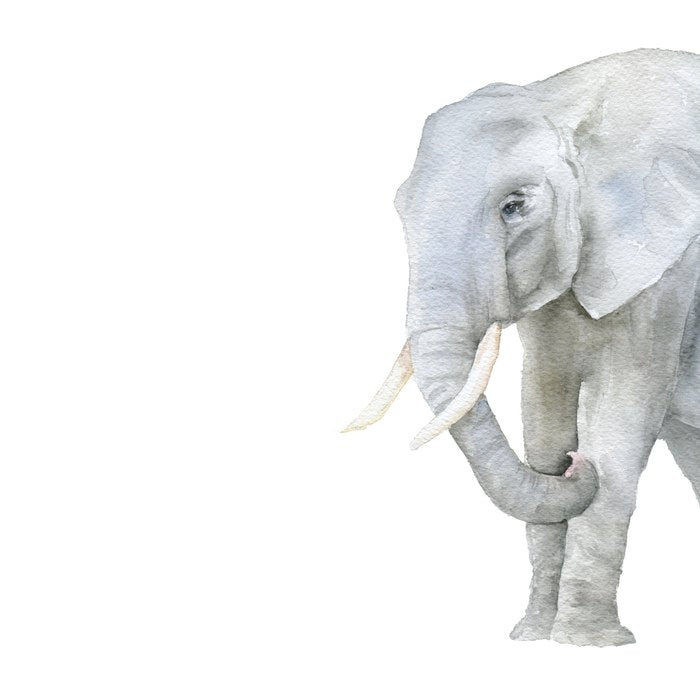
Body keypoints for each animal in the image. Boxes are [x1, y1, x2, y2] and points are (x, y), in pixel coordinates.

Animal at [344, 48, 700, 646]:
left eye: (514, 207)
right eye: (399, 207)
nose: (575, 466)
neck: (564, 101)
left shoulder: (673, 268)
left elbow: (624, 414)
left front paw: (587, 645)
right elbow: (542, 404)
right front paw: (532, 637)